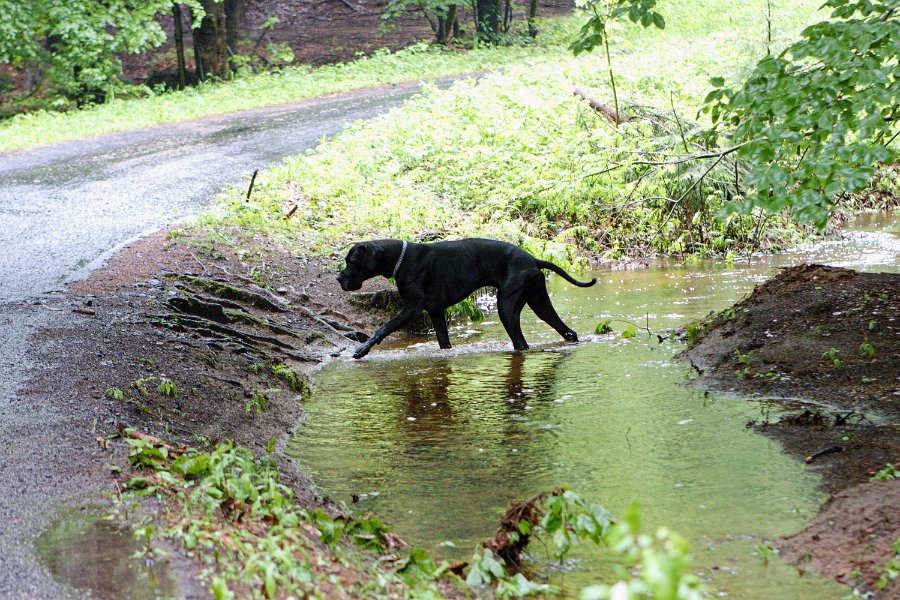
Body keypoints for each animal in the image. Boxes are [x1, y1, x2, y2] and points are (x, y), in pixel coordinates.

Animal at [334, 238, 596, 360]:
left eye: (352, 261)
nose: (339, 279)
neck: (402, 258)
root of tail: (533, 259)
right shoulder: (436, 312)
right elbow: (443, 341)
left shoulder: (412, 309)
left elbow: (383, 329)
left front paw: (362, 349)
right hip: (540, 302)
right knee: (567, 331)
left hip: (507, 308)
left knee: (521, 343)